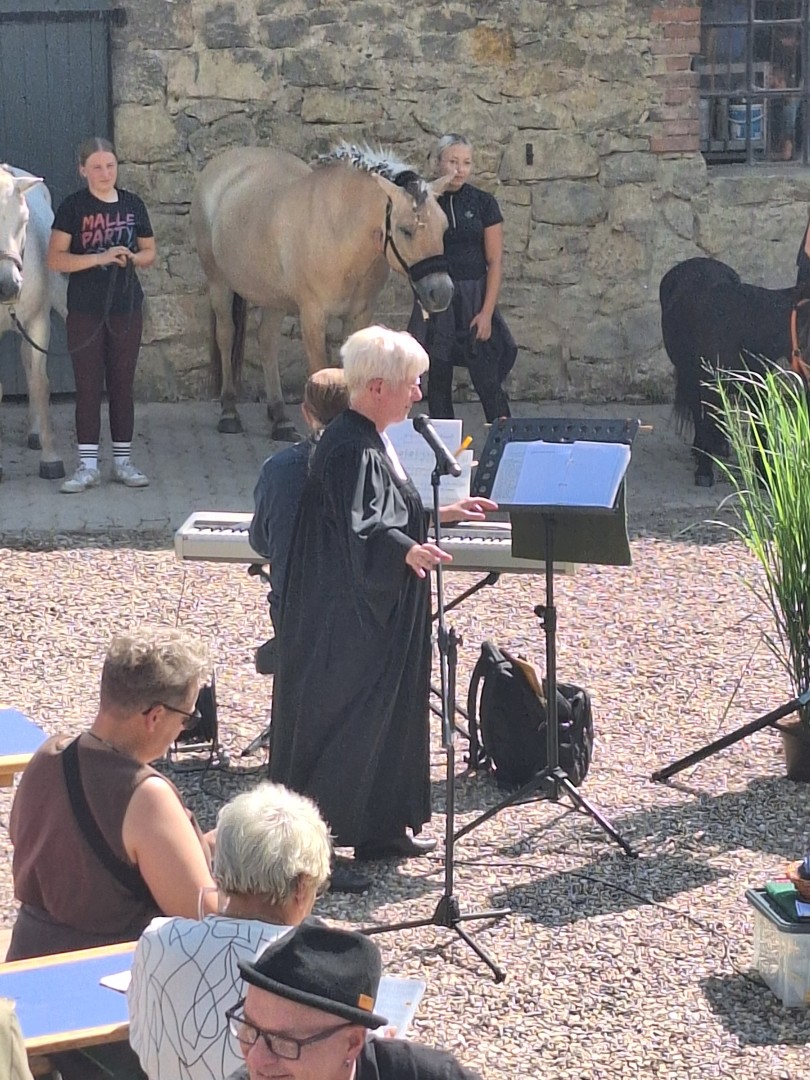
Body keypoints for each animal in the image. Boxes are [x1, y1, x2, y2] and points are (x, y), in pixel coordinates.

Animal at [192, 144, 457, 438]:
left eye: (444, 227)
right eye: (406, 230)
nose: (441, 292)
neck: (339, 229)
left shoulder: (359, 314)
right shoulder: (312, 315)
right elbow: (320, 369)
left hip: (274, 298)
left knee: (267, 340)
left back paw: (280, 417)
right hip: (219, 283)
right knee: (226, 335)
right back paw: (229, 411)